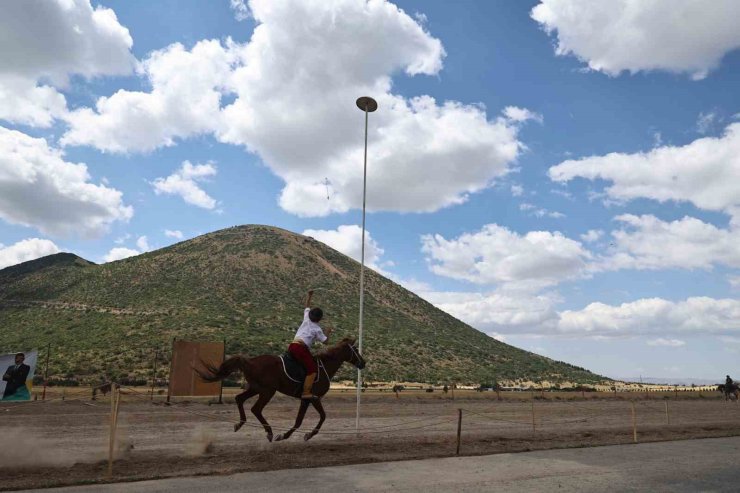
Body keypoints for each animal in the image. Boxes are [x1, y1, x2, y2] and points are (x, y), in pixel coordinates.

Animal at [197, 336, 364, 440]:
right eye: (355, 349)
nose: (363, 362)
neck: (323, 367)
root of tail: (250, 361)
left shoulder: (306, 400)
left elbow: (300, 420)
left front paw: (286, 435)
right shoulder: (313, 398)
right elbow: (321, 417)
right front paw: (304, 435)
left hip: (256, 389)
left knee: (239, 399)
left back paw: (240, 423)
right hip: (267, 391)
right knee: (256, 409)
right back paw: (269, 432)